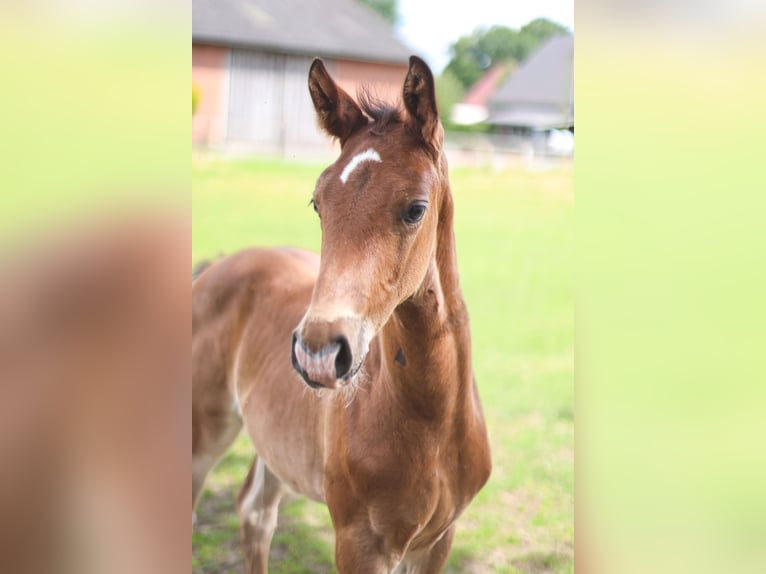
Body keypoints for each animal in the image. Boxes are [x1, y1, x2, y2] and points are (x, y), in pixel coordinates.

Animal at [192, 55, 492, 574]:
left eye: (416, 208)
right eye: (318, 203)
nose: (318, 352)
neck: (433, 423)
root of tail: (218, 264)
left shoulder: (438, 542)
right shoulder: (359, 543)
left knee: (254, 512)